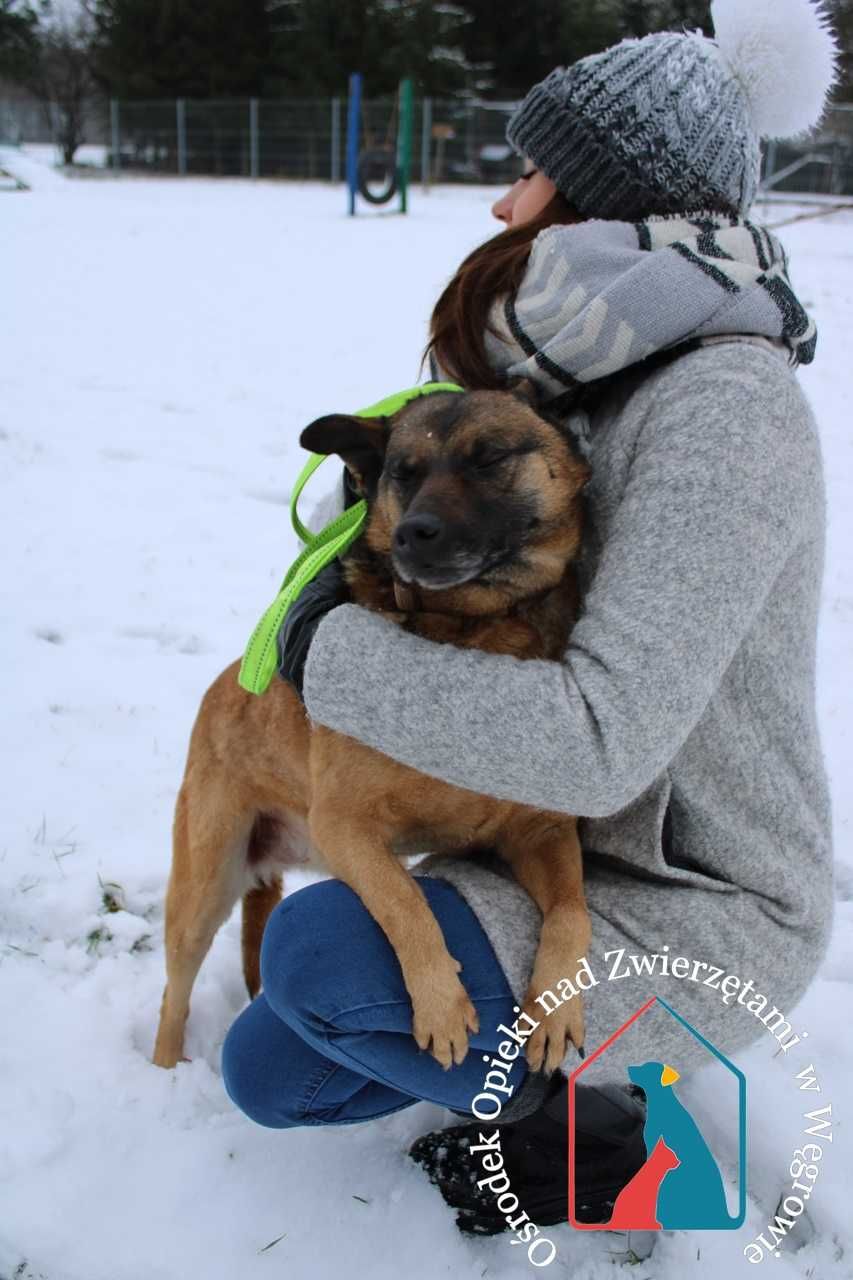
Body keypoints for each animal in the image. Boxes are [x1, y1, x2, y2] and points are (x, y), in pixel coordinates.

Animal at [153, 386, 589, 1080]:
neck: (469, 630)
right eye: (403, 473)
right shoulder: (345, 826)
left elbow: (573, 913)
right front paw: (441, 1003)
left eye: (488, 457)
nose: (415, 533)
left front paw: (555, 1009)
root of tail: (219, 690)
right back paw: (167, 1071)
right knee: (175, 993)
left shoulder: (542, 831)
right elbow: (404, 900)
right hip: (203, 887)